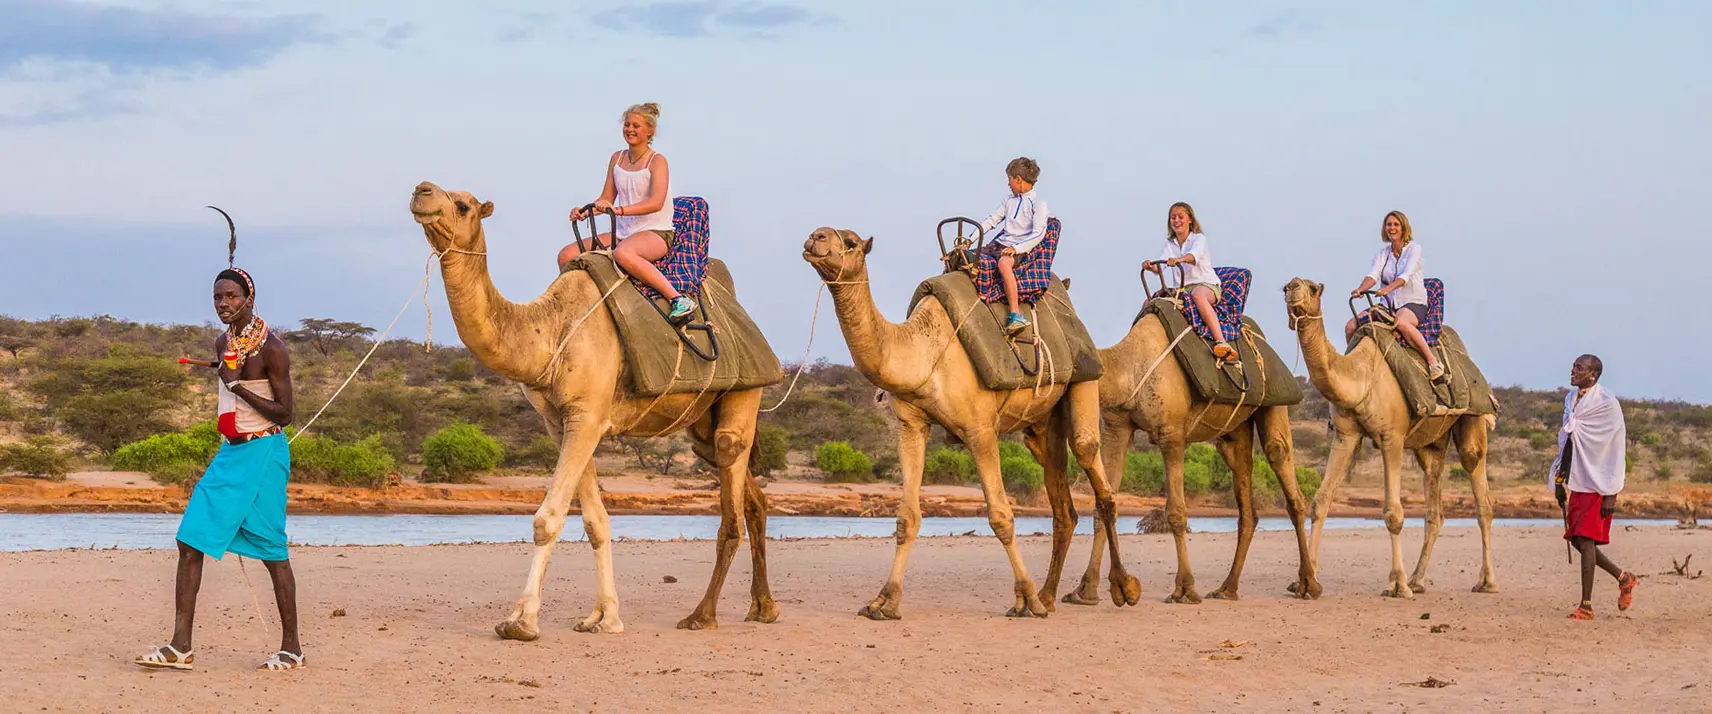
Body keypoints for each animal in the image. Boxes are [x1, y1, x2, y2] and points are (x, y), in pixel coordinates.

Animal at [410, 180, 773, 636]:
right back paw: (763, 607)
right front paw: (604, 616)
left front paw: (522, 621)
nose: (421, 190)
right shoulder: (562, 421)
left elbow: (547, 519)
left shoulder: (586, 418)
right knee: (751, 497)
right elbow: (595, 522)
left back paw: (701, 615)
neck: (549, 329)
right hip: (702, 424)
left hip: (748, 390)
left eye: (462, 205)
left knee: (730, 501)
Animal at [797, 229, 1136, 616]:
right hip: (1042, 424)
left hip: (1084, 378)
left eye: (851, 242)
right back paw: (1049, 595)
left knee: (1096, 474)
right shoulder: (911, 425)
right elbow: (906, 518)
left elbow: (1001, 516)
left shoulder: (980, 429)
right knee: (1062, 502)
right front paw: (883, 601)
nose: (816, 237)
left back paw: (1121, 588)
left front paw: (1024, 600)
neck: (922, 349)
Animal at [1054, 299, 1321, 602]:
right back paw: (1227, 588)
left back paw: (1308, 584)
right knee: (1245, 493)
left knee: (1284, 470)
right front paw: (1084, 590)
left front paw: (1184, 589)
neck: (1129, 366)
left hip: (1275, 403)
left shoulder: (1172, 434)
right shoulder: (1116, 427)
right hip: (1235, 432)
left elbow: (1177, 512)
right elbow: (1102, 506)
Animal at [1280, 277, 1492, 595]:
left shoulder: (1392, 437)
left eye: (1312, 288)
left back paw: (1486, 581)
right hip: (1430, 444)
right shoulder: (1345, 435)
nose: (1292, 287)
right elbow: (1320, 502)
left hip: (1474, 418)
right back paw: (1418, 580)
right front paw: (1305, 581)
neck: (1361, 377)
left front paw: (1397, 584)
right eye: (1287, 287)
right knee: (1434, 503)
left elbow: (1393, 513)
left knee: (1481, 494)